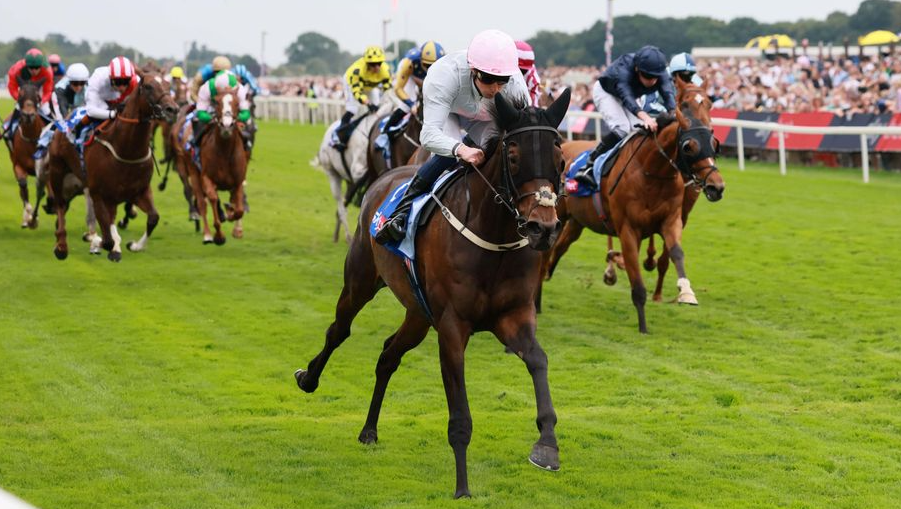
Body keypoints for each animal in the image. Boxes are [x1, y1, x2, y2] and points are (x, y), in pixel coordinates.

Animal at [6, 83, 45, 229]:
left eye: (37, 96)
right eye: (20, 95)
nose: (28, 115)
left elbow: (42, 191)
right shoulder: (18, 165)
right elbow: (23, 187)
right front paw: (29, 218)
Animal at [85, 70, 178, 262]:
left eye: (168, 84)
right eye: (148, 86)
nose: (172, 110)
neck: (127, 150)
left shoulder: (140, 191)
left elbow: (153, 218)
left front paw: (135, 245)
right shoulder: (99, 193)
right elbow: (107, 239)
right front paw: (100, 243)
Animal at [186, 87, 247, 244]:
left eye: (237, 103)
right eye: (217, 102)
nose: (226, 126)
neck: (224, 152)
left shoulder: (238, 182)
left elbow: (239, 209)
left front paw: (231, 213)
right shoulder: (206, 178)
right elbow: (212, 199)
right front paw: (219, 236)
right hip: (194, 173)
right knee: (202, 203)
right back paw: (207, 235)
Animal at [542, 81, 724, 333]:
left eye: (714, 144)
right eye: (689, 146)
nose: (717, 186)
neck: (652, 172)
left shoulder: (672, 220)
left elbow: (675, 253)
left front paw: (686, 292)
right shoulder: (628, 229)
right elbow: (636, 278)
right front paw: (643, 326)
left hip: (577, 221)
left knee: (559, 247)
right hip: (557, 213)